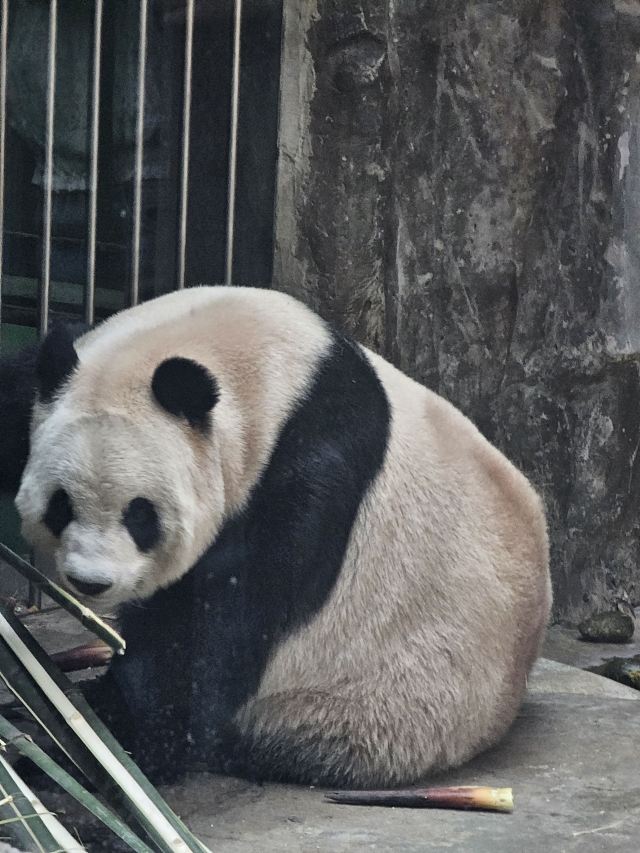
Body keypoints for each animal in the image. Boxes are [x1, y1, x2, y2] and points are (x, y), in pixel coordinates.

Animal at [2, 286, 551, 787]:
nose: (91, 582)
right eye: (60, 505)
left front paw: (104, 744)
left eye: (141, 516)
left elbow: (211, 634)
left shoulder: (309, 478)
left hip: (366, 713)